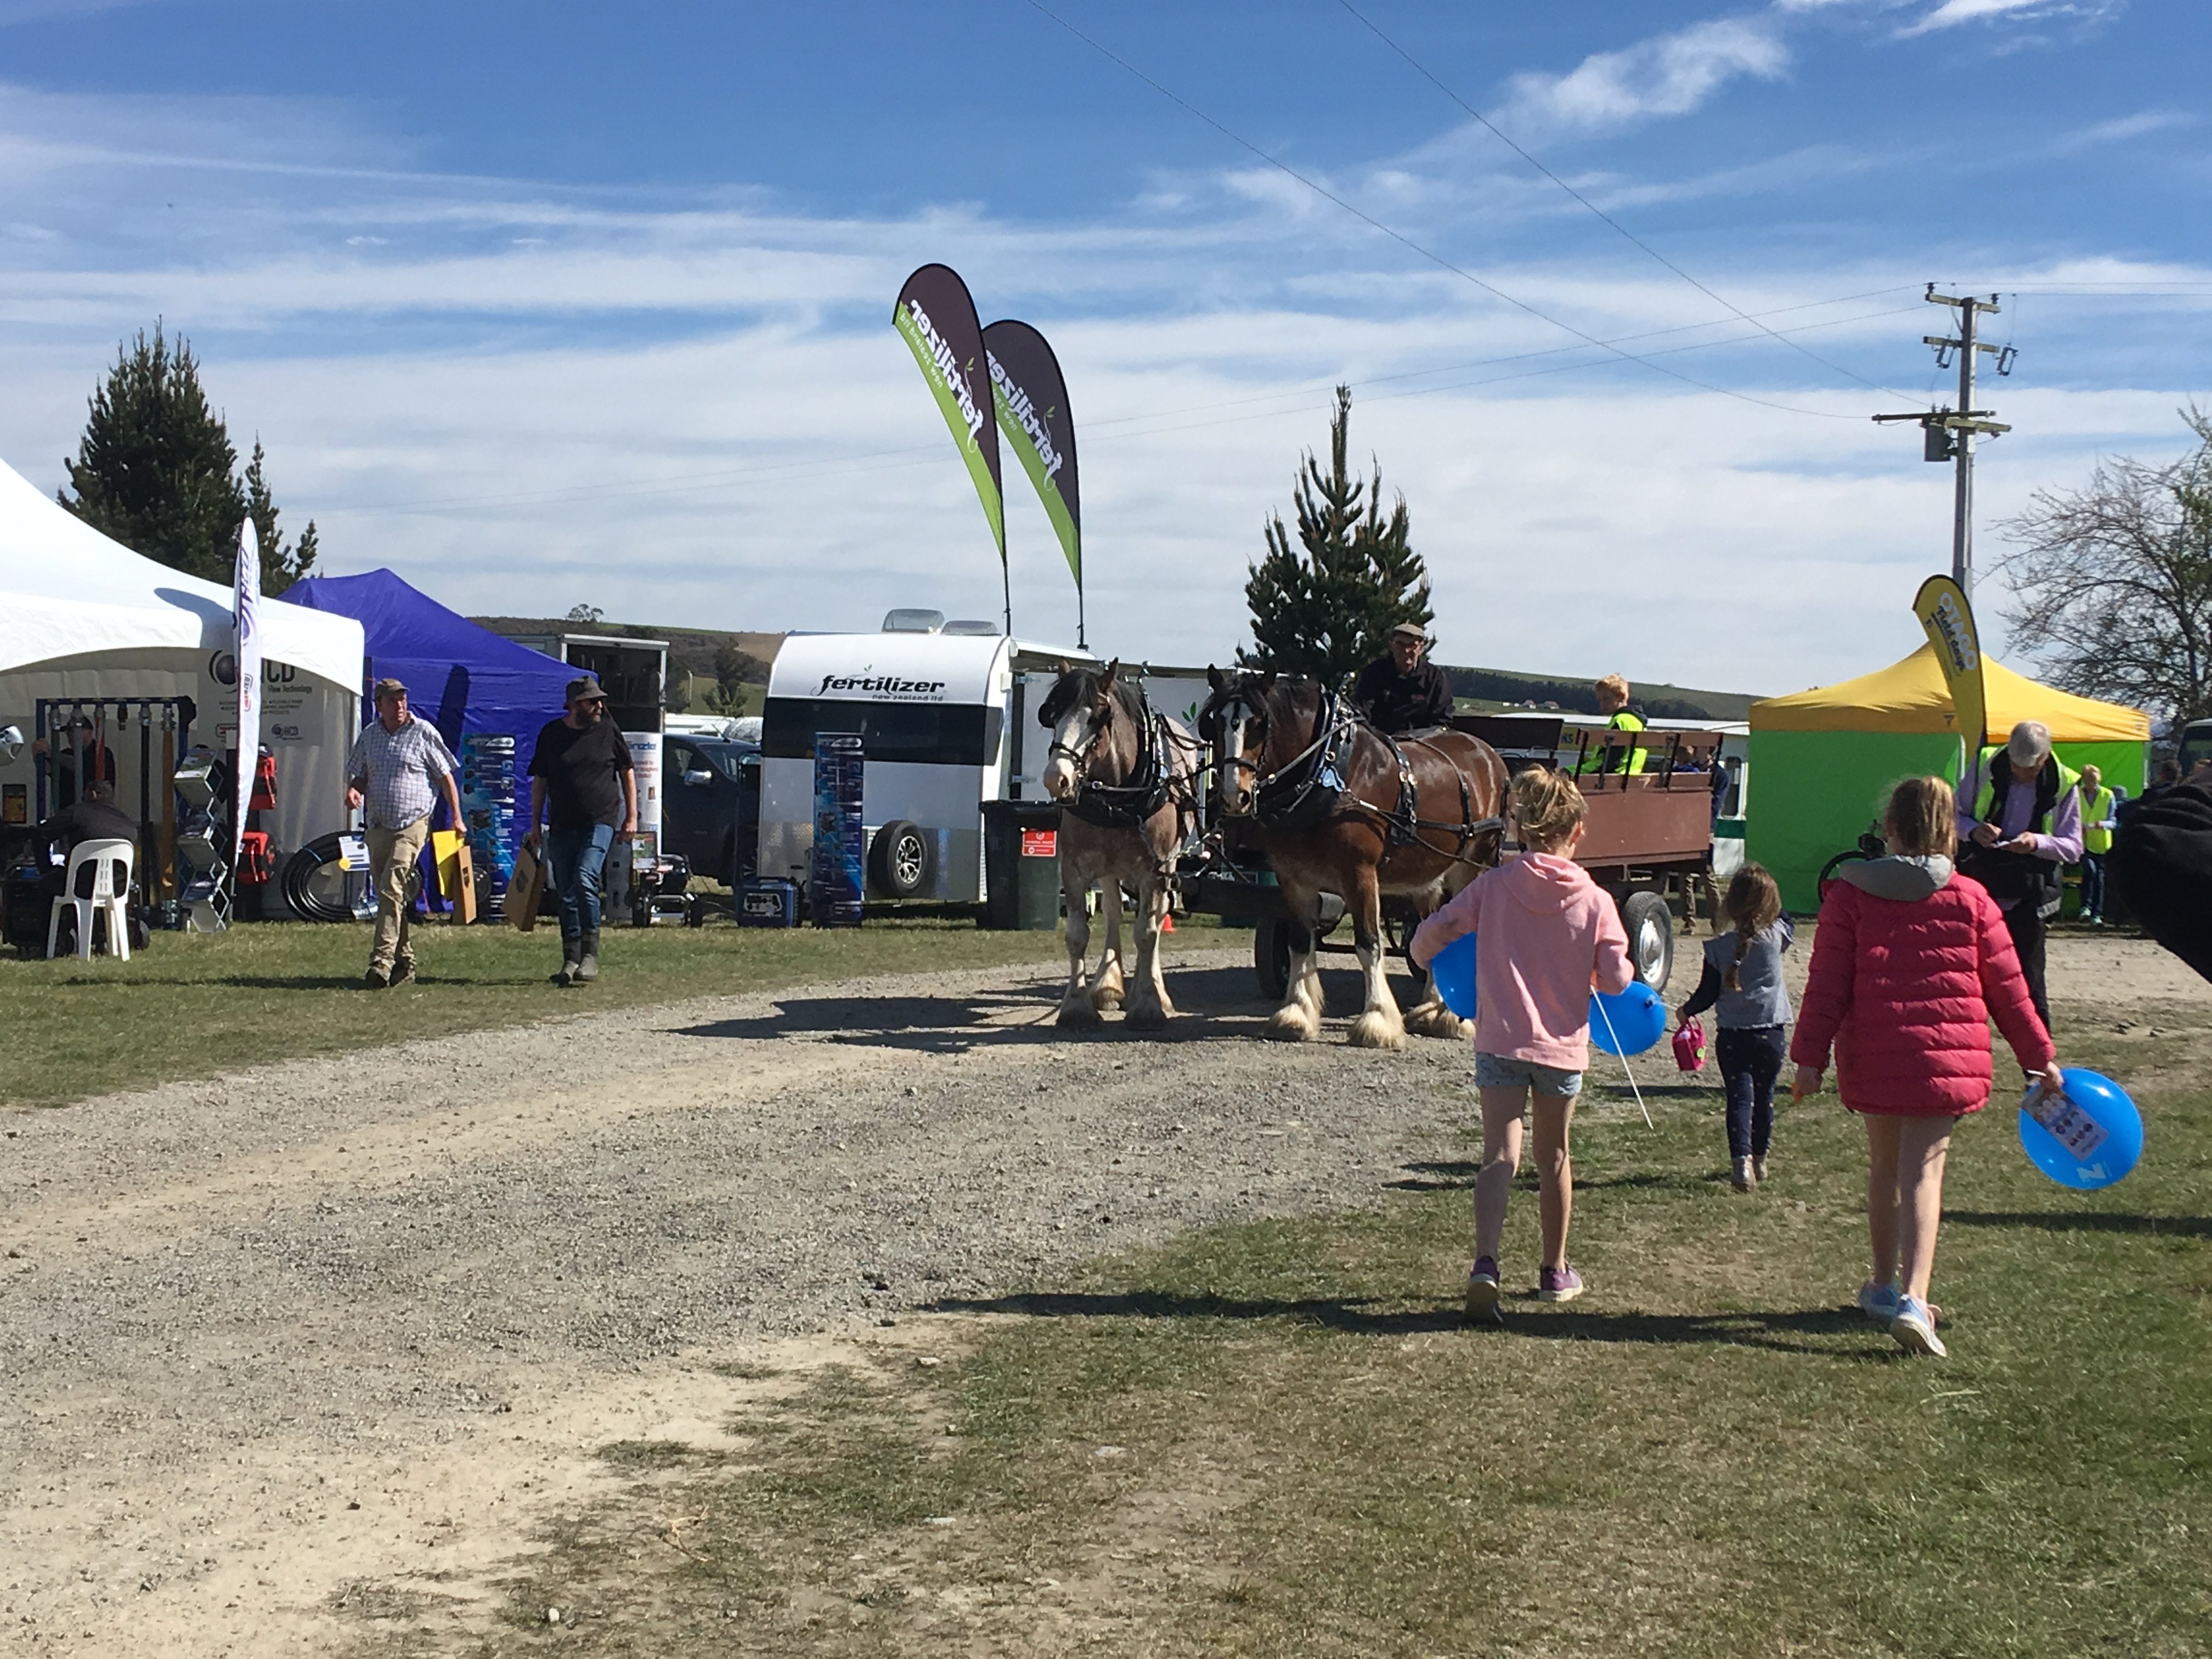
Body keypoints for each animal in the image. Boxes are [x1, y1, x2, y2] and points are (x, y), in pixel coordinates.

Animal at [1040, 659, 1203, 1026]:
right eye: (1051, 715)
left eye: (1098, 717)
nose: (1056, 778)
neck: (1117, 797)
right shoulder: (1075, 869)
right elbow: (1078, 935)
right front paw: (1076, 1006)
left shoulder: (1153, 871)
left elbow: (1146, 933)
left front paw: (1148, 1003)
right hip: (1110, 869)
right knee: (1114, 911)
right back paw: (1109, 986)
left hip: (1169, 864)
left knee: (1156, 918)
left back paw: (1154, 987)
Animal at [1203, 668, 1513, 1044]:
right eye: (1215, 723)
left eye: (1261, 723)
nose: (1234, 796)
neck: (1328, 772)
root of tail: (1490, 756)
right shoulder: (1292, 878)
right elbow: (1298, 942)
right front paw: (1296, 1014)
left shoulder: (1360, 873)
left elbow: (1368, 944)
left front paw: (1376, 1020)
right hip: (1428, 875)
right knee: (1435, 931)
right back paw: (1431, 1009)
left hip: (1475, 864)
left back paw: (1455, 1018)